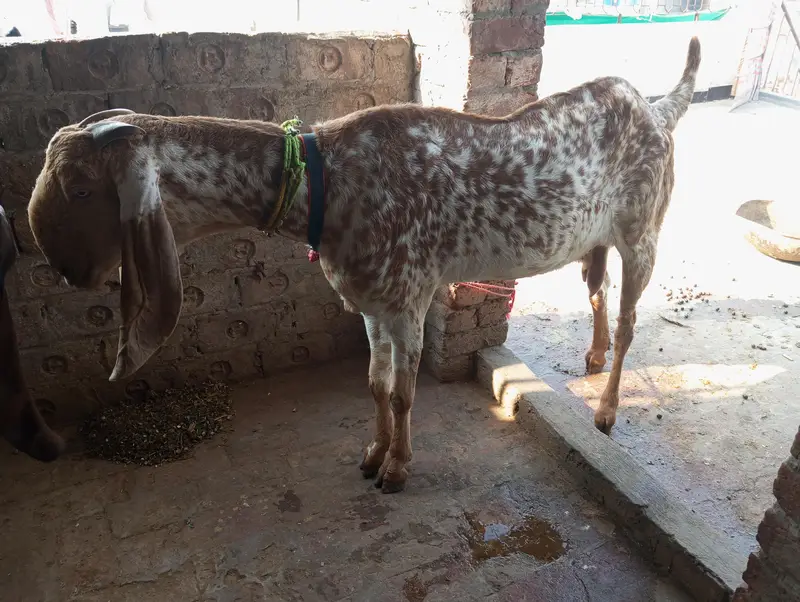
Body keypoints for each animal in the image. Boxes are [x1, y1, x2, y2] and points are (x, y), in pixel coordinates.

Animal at [27, 38, 700, 492]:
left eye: (82, 189)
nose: (64, 267)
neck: (327, 183)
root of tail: (658, 107)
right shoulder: (371, 304)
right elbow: (375, 385)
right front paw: (374, 454)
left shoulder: (408, 299)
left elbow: (402, 391)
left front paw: (398, 468)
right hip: (596, 237)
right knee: (597, 289)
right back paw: (592, 355)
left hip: (643, 231)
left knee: (632, 320)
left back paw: (607, 410)